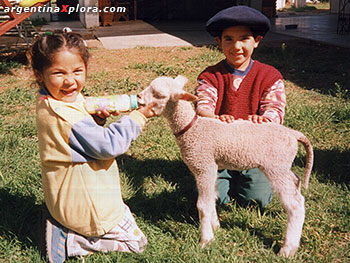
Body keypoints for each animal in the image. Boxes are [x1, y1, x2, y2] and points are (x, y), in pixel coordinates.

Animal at [137, 75, 314, 258]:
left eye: (159, 94)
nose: (138, 97)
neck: (191, 129)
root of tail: (294, 134)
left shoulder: (204, 166)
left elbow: (202, 205)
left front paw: (206, 240)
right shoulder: (210, 167)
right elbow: (212, 197)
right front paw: (215, 226)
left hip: (276, 166)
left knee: (295, 204)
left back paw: (288, 249)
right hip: (284, 166)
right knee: (296, 184)